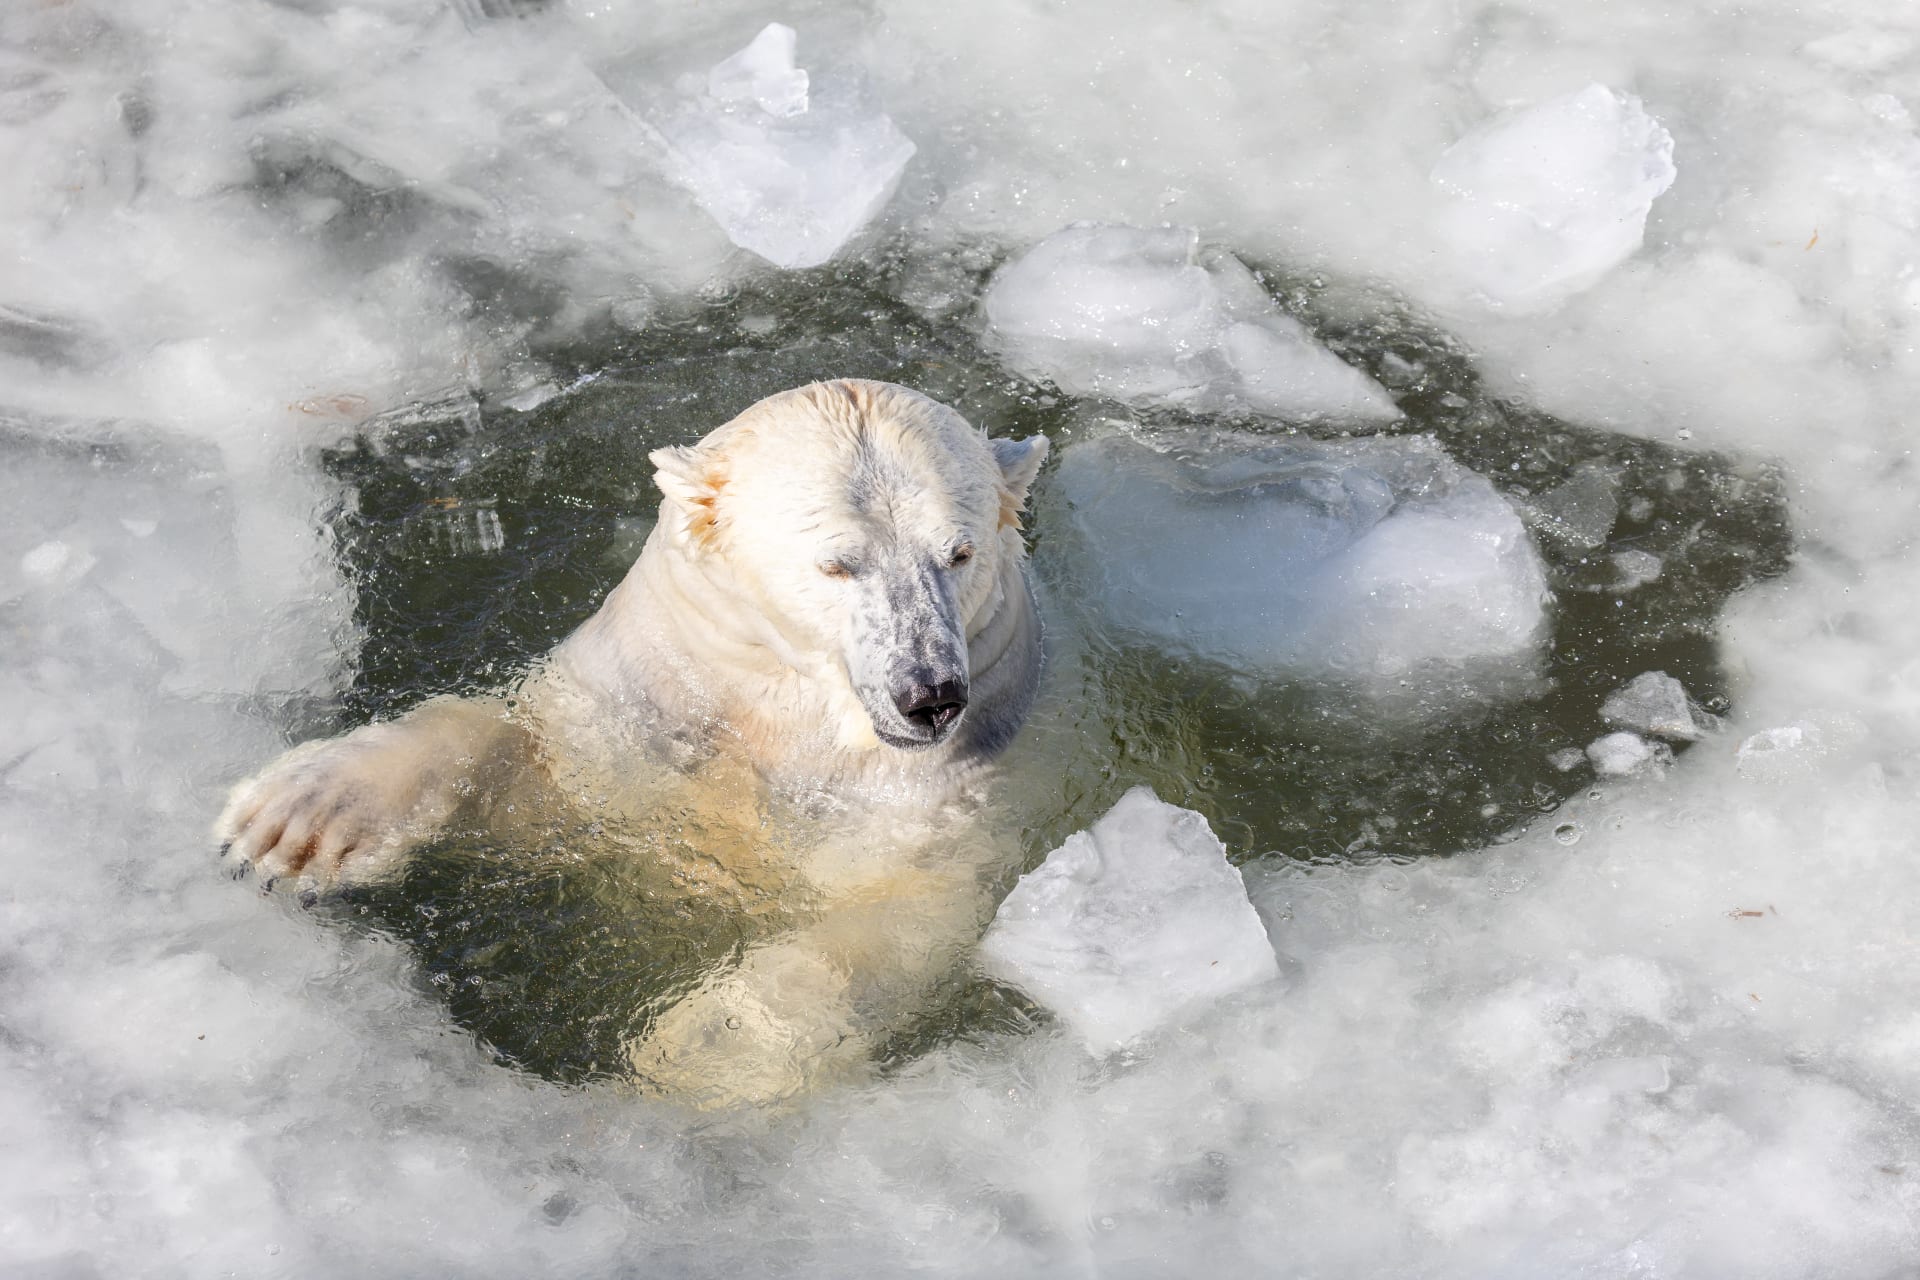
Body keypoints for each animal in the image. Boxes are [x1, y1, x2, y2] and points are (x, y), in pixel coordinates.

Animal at [215, 379, 1050, 1106]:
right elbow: (541, 774)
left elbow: (903, 912)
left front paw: (698, 1049)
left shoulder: (951, 785)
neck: (783, 717)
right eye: (838, 563)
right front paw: (297, 824)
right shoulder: (656, 700)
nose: (931, 695)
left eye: (959, 553)